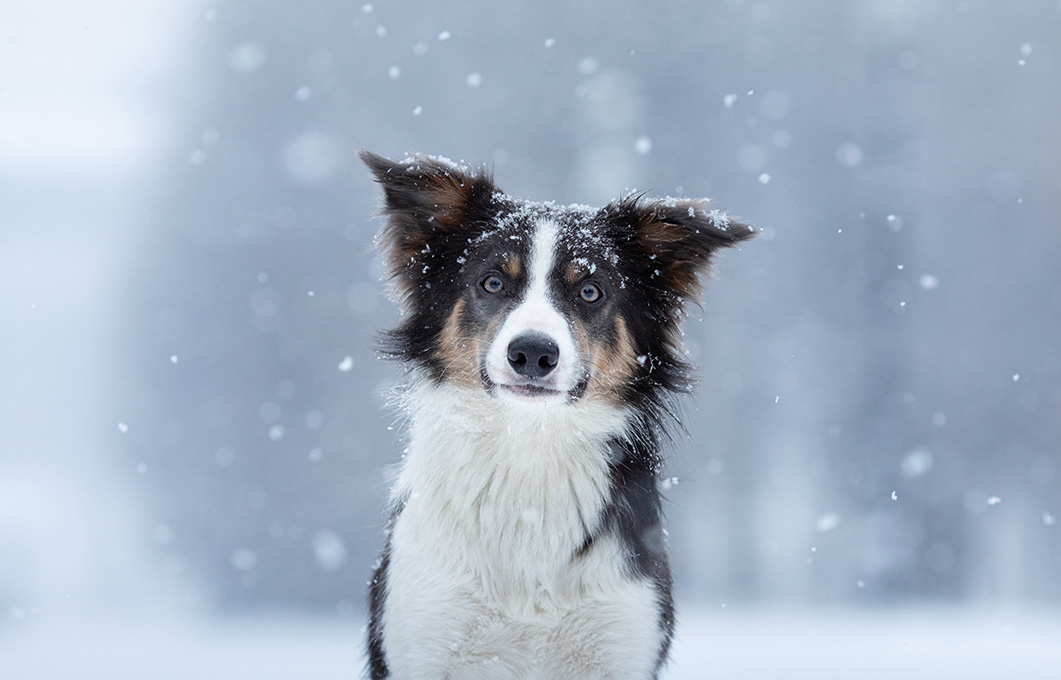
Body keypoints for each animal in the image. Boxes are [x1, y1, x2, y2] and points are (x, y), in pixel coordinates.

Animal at [358, 150, 755, 674]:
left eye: (590, 291)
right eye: (491, 282)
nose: (531, 353)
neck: (530, 453)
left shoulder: (624, 630)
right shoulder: (424, 635)